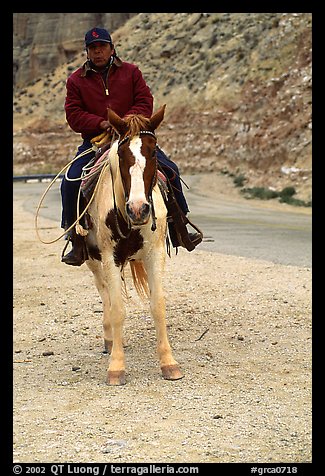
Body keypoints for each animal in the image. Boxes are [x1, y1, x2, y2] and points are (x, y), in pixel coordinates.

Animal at [83, 106, 182, 384]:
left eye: (153, 151)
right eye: (121, 154)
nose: (139, 209)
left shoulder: (154, 254)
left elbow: (158, 305)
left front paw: (169, 363)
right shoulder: (110, 257)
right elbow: (117, 308)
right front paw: (116, 367)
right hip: (94, 259)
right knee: (105, 292)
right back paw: (110, 340)